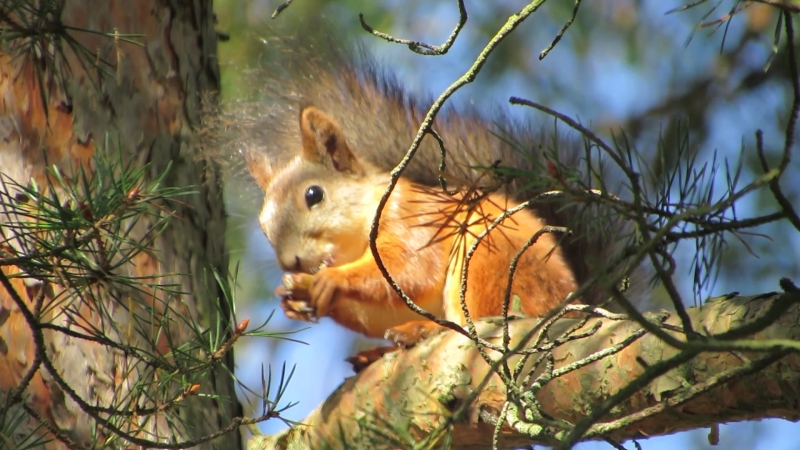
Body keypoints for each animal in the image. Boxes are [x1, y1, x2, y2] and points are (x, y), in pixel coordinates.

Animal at [208, 24, 644, 370]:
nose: (290, 261)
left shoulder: (414, 221)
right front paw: (292, 297)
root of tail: (572, 305)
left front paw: (328, 280)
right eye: (262, 222)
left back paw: (419, 329)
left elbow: (409, 269)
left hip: (490, 261)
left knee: (477, 326)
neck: (355, 243)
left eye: (313, 195)